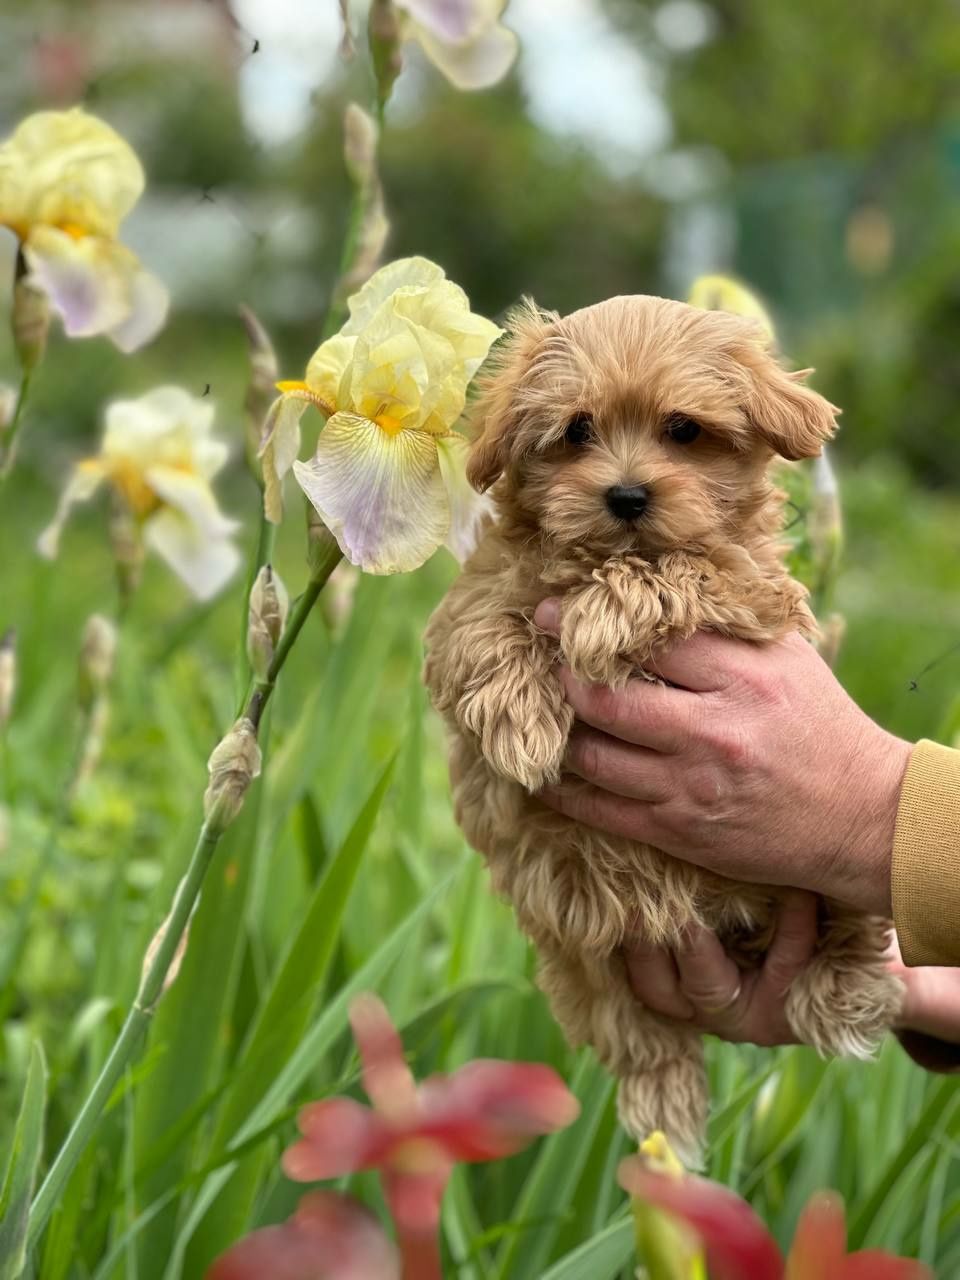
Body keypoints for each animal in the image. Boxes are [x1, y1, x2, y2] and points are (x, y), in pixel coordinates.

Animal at [424, 294, 906, 1167]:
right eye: (577, 430)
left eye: (683, 429)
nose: (626, 496)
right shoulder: (465, 611)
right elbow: (483, 630)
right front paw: (523, 725)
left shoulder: (752, 591)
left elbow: (680, 569)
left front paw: (600, 616)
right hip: (583, 949)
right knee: (642, 1042)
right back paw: (666, 1128)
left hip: (814, 867)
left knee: (854, 918)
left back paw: (843, 994)